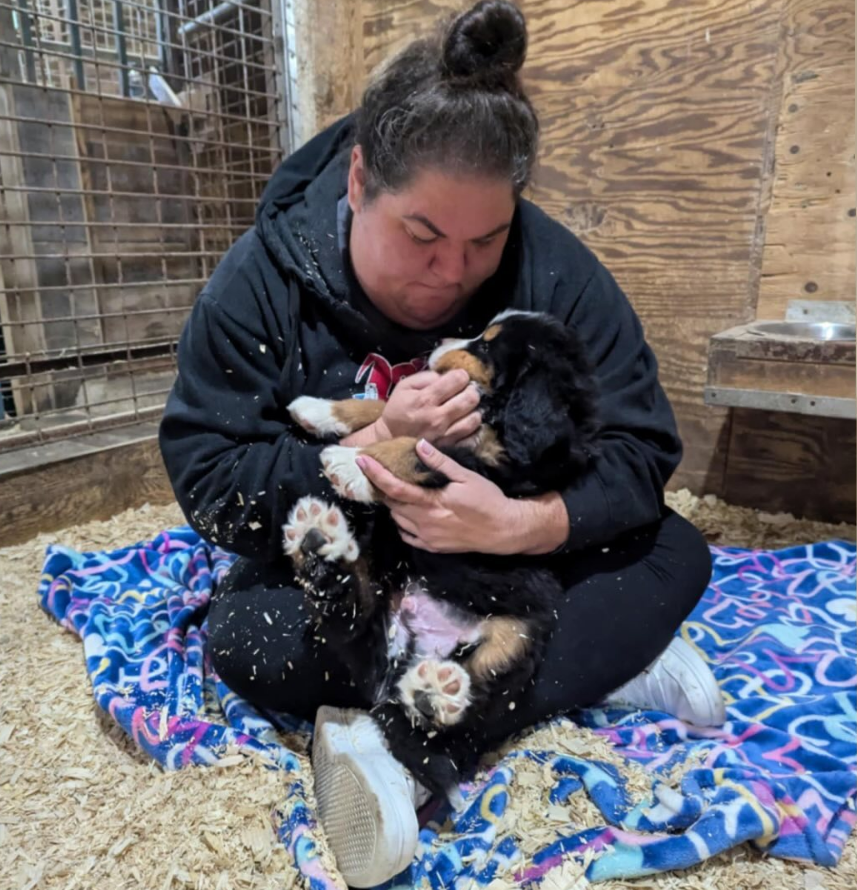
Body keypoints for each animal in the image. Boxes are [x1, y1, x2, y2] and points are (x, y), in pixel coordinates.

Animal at [284, 310, 600, 796]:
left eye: (485, 346)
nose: (439, 342)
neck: (497, 416)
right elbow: (391, 413)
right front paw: (319, 411)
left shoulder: (494, 472)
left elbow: (420, 448)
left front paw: (350, 464)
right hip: (379, 590)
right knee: (349, 618)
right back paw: (319, 546)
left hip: (521, 635)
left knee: (470, 704)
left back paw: (438, 692)